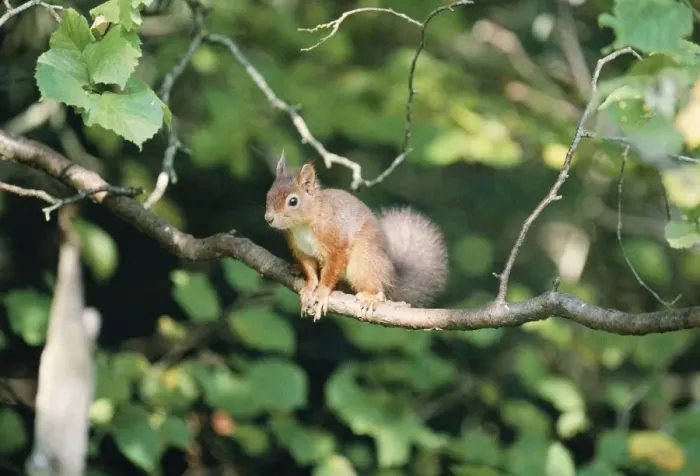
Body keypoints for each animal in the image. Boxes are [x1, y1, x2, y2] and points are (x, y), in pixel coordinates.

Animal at [265, 152, 448, 320]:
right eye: (268, 195)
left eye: (293, 201)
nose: (268, 218)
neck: (302, 225)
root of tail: (391, 277)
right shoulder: (301, 250)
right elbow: (310, 270)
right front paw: (310, 287)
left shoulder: (336, 242)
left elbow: (330, 271)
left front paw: (322, 292)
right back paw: (297, 269)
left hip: (363, 261)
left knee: (375, 286)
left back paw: (371, 297)